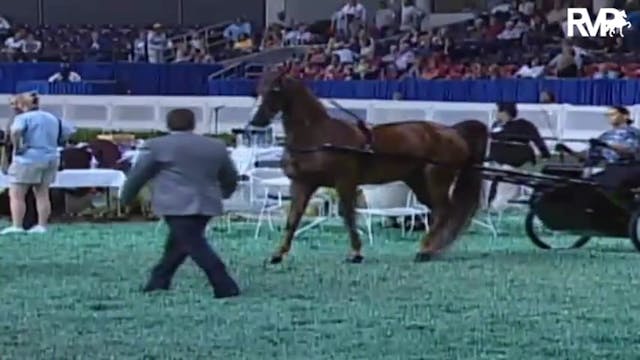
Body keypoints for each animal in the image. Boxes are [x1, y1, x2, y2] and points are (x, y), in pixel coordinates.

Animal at [250, 71, 490, 262]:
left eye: (275, 89)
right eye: (259, 89)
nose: (256, 122)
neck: (318, 135)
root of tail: (453, 131)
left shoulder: (344, 182)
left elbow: (347, 215)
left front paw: (355, 253)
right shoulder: (302, 184)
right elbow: (293, 219)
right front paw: (278, 254)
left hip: (437, 178)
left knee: (445, 211)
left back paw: (425, 250)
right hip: (418, 181)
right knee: (440, 211)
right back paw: (431, 248)